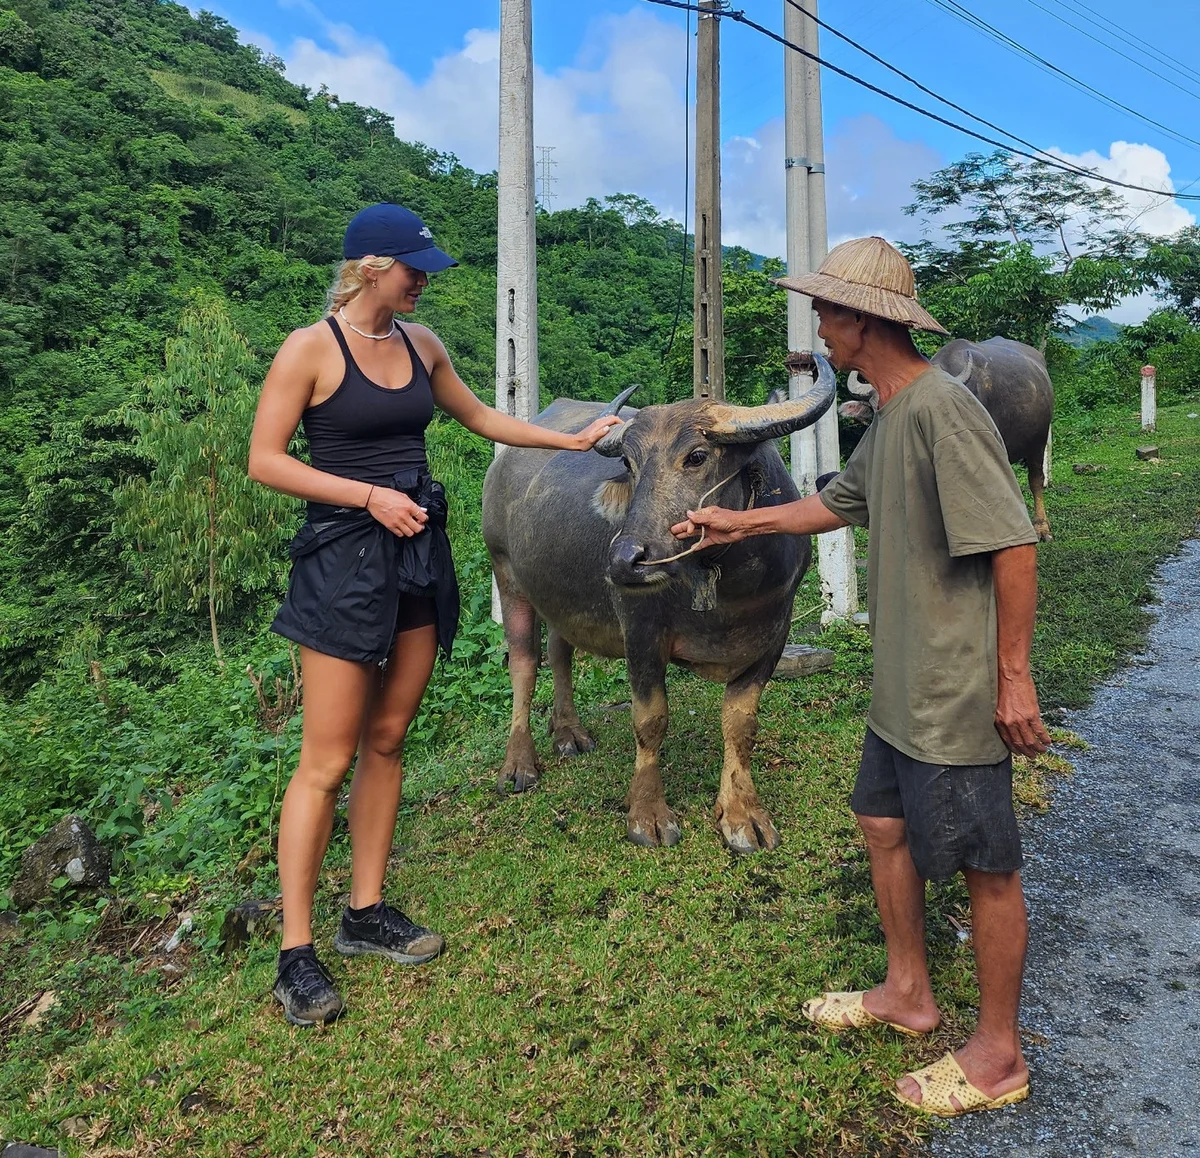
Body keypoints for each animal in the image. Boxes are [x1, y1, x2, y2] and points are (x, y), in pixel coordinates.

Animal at [482, 356, 836, 852]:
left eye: (697, 456)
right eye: (629, 464)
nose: (626, 559)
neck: (727, 586)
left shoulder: (774, 636)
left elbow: (741, 723)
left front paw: (742, 814)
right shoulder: (641, 632)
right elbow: (650, 720)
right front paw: (647, 814)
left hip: (559, 594)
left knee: (560, 651)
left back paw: (568, 731)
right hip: (507, 575)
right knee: (524, 665)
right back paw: (519, 764)